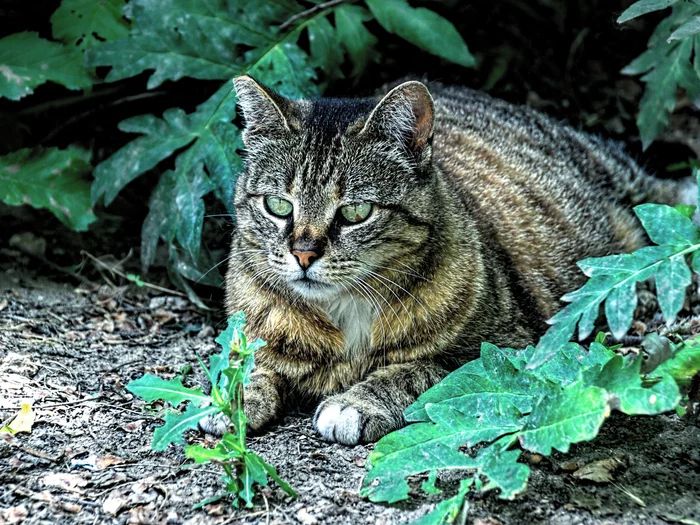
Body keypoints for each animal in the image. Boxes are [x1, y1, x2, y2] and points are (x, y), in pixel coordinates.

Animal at [220, 74, 696, 442]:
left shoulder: (506, 350)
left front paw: (356, 403)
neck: (344, 313)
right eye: (278, 206)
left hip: (626, 183)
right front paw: (230, 398)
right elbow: (245, 362)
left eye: (355, 212)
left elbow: (418, 370)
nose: (303, 253)